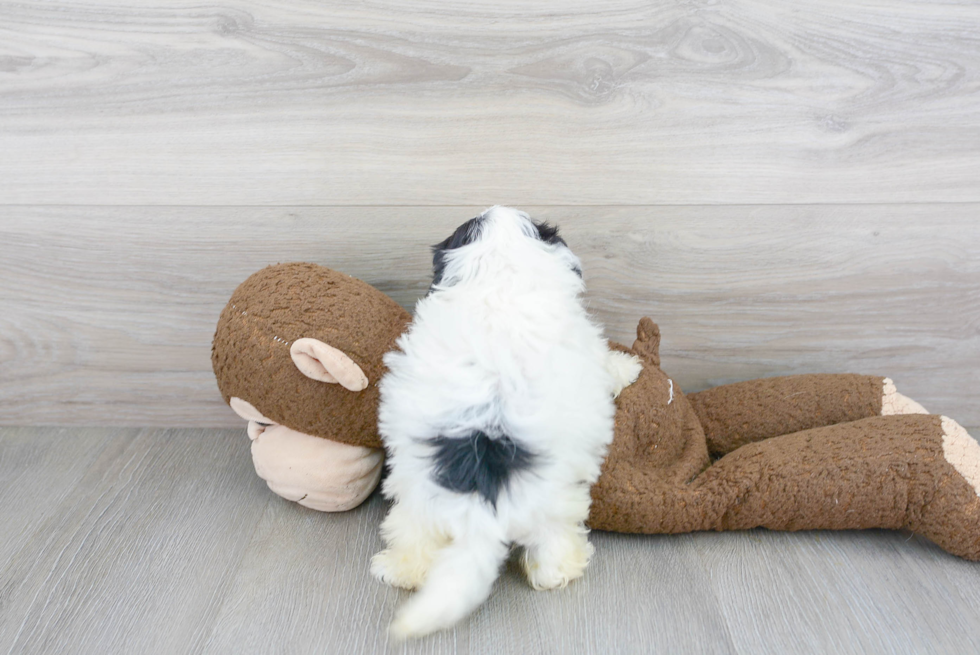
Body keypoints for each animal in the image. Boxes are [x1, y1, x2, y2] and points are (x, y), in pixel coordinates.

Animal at [372, 208, 640, 640]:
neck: (499, 280)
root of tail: (481, 502)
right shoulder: (588, 347)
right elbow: (607, 364)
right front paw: (629, 367)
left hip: (415, 495)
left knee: (414, 537)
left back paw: (397, 569)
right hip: (556, 503)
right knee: (554, 546)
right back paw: (564, 569)